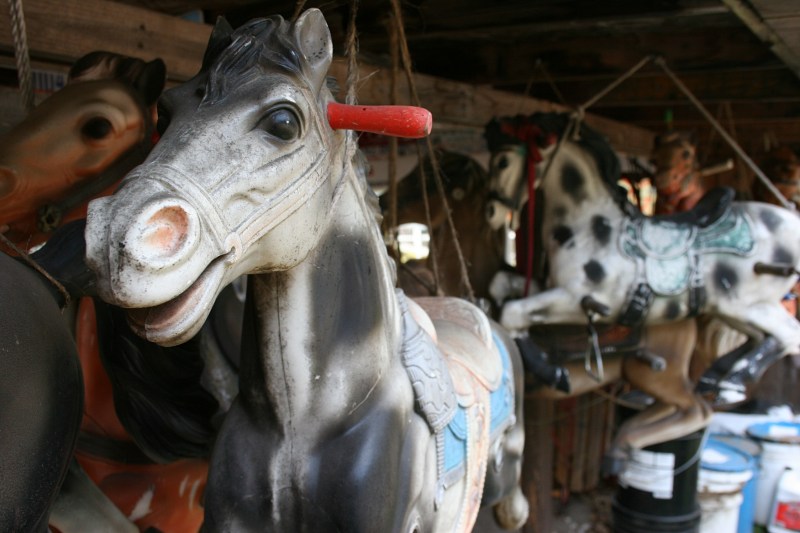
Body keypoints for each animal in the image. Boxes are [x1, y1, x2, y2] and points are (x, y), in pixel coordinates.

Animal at [486, 112, 800, 467]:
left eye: (502, 161)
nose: (492, 212)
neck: (591, 226)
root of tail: (791, 219)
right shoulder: (551, 286)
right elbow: (501, 286)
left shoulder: (585, 299)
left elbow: (513, 311)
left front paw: (551, 371)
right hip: (732, 308)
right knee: (760, 339)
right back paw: (718, 379)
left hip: (745, 305)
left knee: (787, 336)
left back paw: (732, 379)